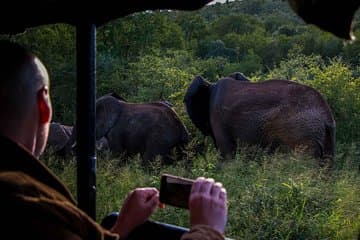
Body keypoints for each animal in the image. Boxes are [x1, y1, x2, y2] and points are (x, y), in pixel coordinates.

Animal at [184, 74, 336, 162]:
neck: (211, 85)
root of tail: (326, 117)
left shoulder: (218, 118)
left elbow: (226, 153)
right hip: (322, 136)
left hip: (301, 133)